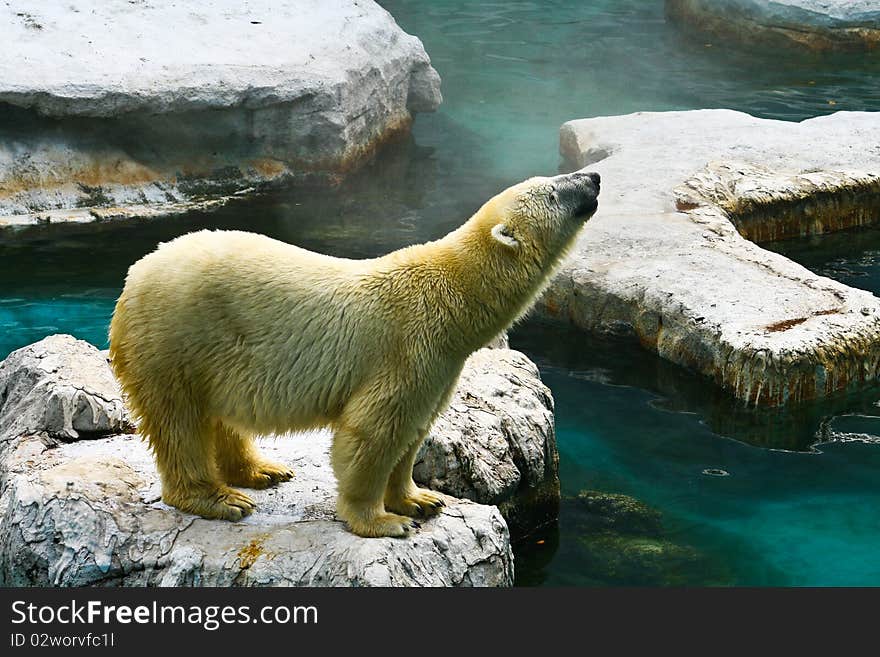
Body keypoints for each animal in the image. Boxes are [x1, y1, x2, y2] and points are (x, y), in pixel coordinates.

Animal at [108, 172, 600, 536]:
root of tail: (135, 273)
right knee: (180, 421)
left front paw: (421, 499)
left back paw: (261, 471)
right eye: (554, 189)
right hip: (174, 339)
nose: (594, 176)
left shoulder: (441, 366)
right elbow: (373, 433)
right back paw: (218, 497)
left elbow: (414, 431)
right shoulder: (407, 348)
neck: (452, 295)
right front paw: (383, 521)